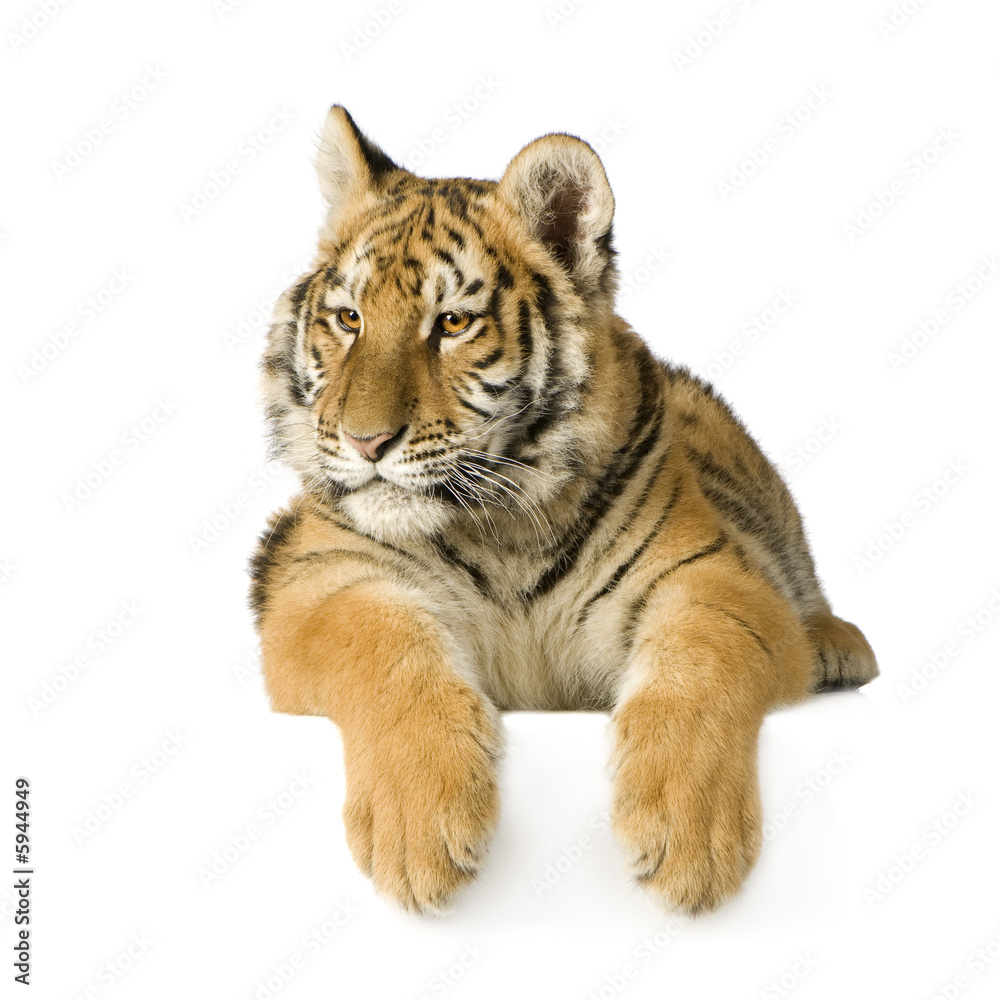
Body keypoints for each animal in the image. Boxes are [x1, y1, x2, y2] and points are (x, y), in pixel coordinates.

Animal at [249, 105, 878, 916]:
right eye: (350, 319)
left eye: (451, 324)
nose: (365, 441)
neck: (500, 517)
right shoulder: (320, 581)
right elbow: (383, 649)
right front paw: (419, 828)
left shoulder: (711, 576)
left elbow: (702, 658)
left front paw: (686, 831)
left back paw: (834, 644)